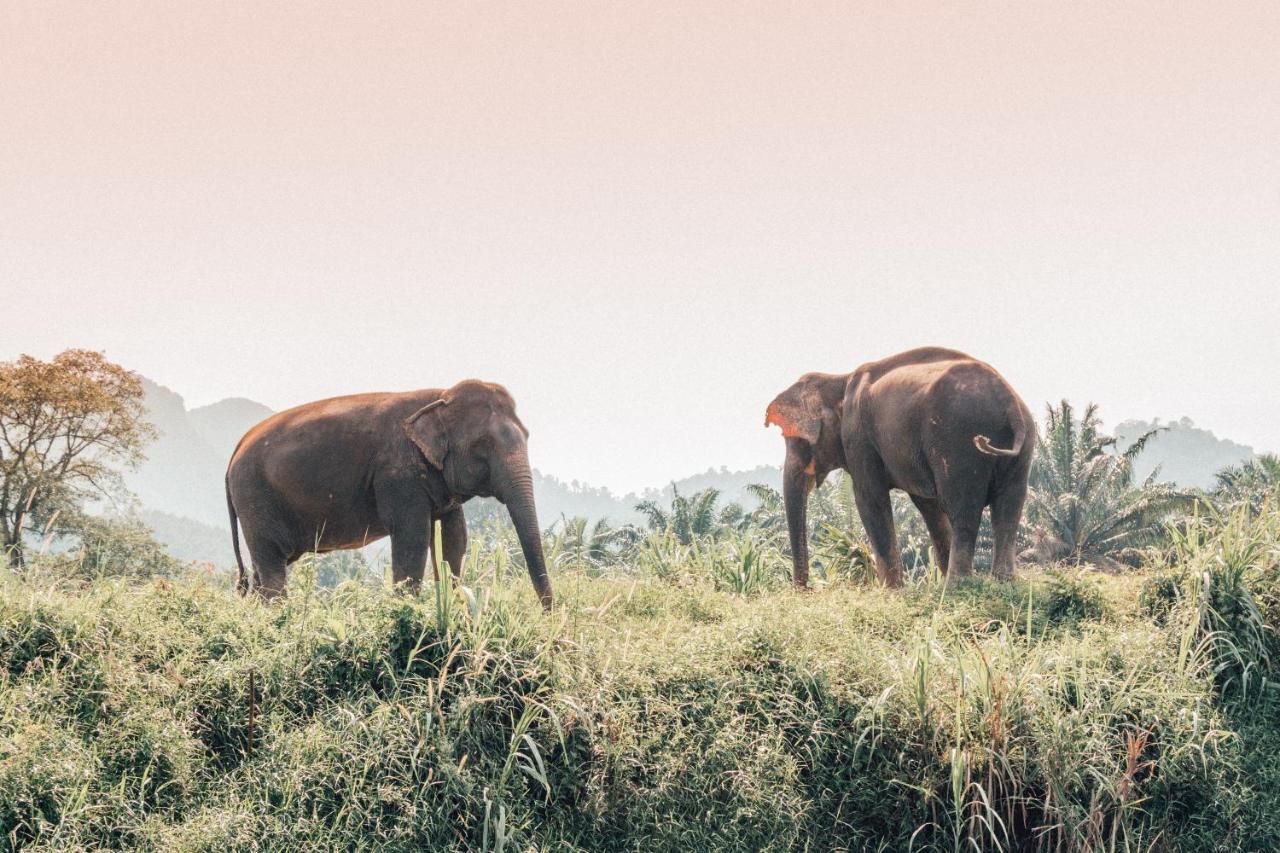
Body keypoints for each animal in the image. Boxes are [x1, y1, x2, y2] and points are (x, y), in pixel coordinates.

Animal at [225, 376, 555, 604]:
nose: (548, 612)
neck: (440, 397)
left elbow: (454, 539)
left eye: (527, 435)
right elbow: (413, 537)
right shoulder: (397, 476)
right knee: (272, 567)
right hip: (255, 497)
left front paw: (454, 603)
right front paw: (406, 610)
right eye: (482, 446)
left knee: (263, 570)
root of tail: (235, 451)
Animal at [762, 345, 1034, 584]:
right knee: (1009, 508)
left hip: (958, 442)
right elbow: (928, 505)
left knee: (963, 510)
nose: (805, 589)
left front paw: (892, 592)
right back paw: (1003, 582)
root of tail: (1009, 400)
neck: (838, 379)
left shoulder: (859, 438)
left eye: (796, 441)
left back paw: (958, 586)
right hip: (1021, 450)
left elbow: (870, 500)